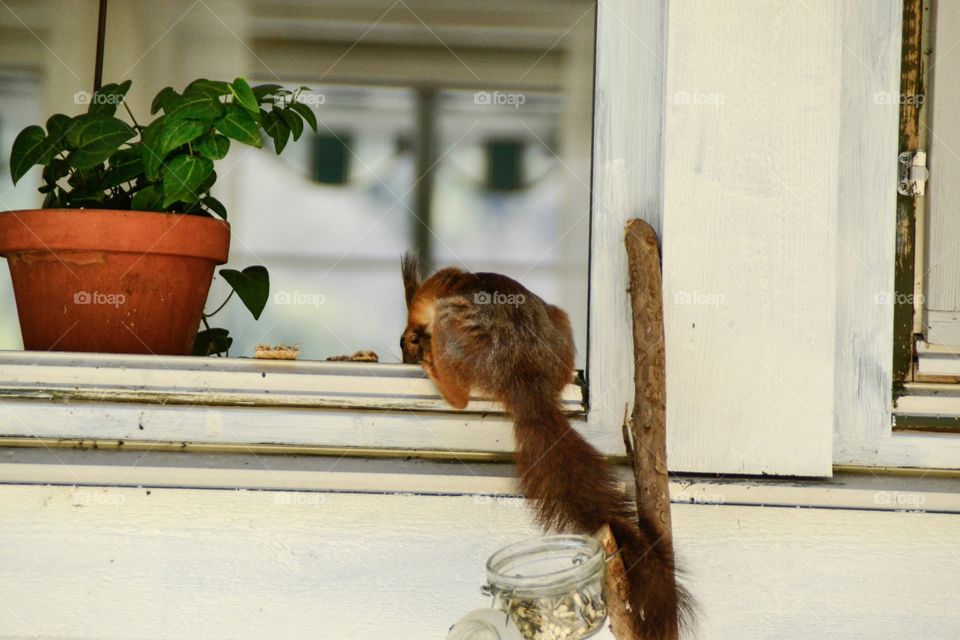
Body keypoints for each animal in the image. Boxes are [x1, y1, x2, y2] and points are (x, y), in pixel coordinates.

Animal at [398, 255, 688, 640]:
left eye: (406, 340)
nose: (407, 350)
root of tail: (524, 376)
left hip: (453, 328)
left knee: (459, 398)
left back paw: (438, 373)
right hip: (559, 322)